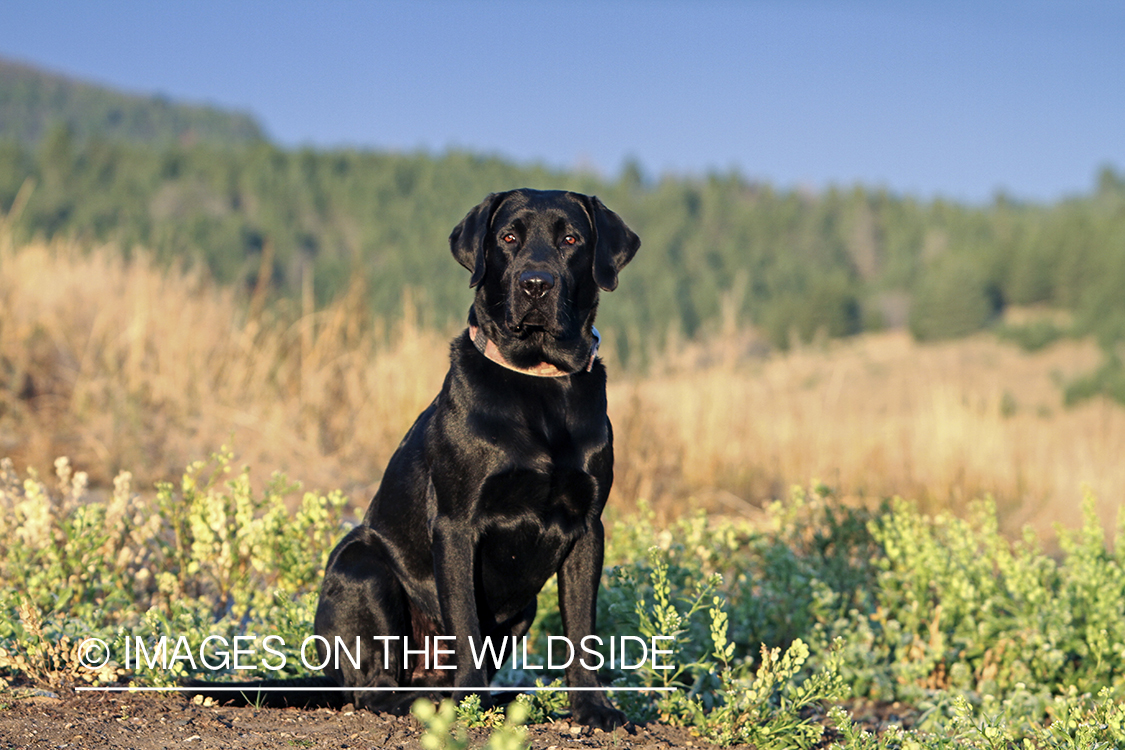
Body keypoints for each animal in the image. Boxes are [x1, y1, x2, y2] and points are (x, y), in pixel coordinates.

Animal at [312, 187, 639, 728]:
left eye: (571, 239)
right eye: (508, 237)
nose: (535, 284)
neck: (539, 382)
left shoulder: (588, 527)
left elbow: (581, 630)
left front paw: (593, 706)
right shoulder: (456, 524)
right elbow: (464, 620)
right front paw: (468, 704)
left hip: (521, 612)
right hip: (362, 566)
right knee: (372, 689)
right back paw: (426, 701)